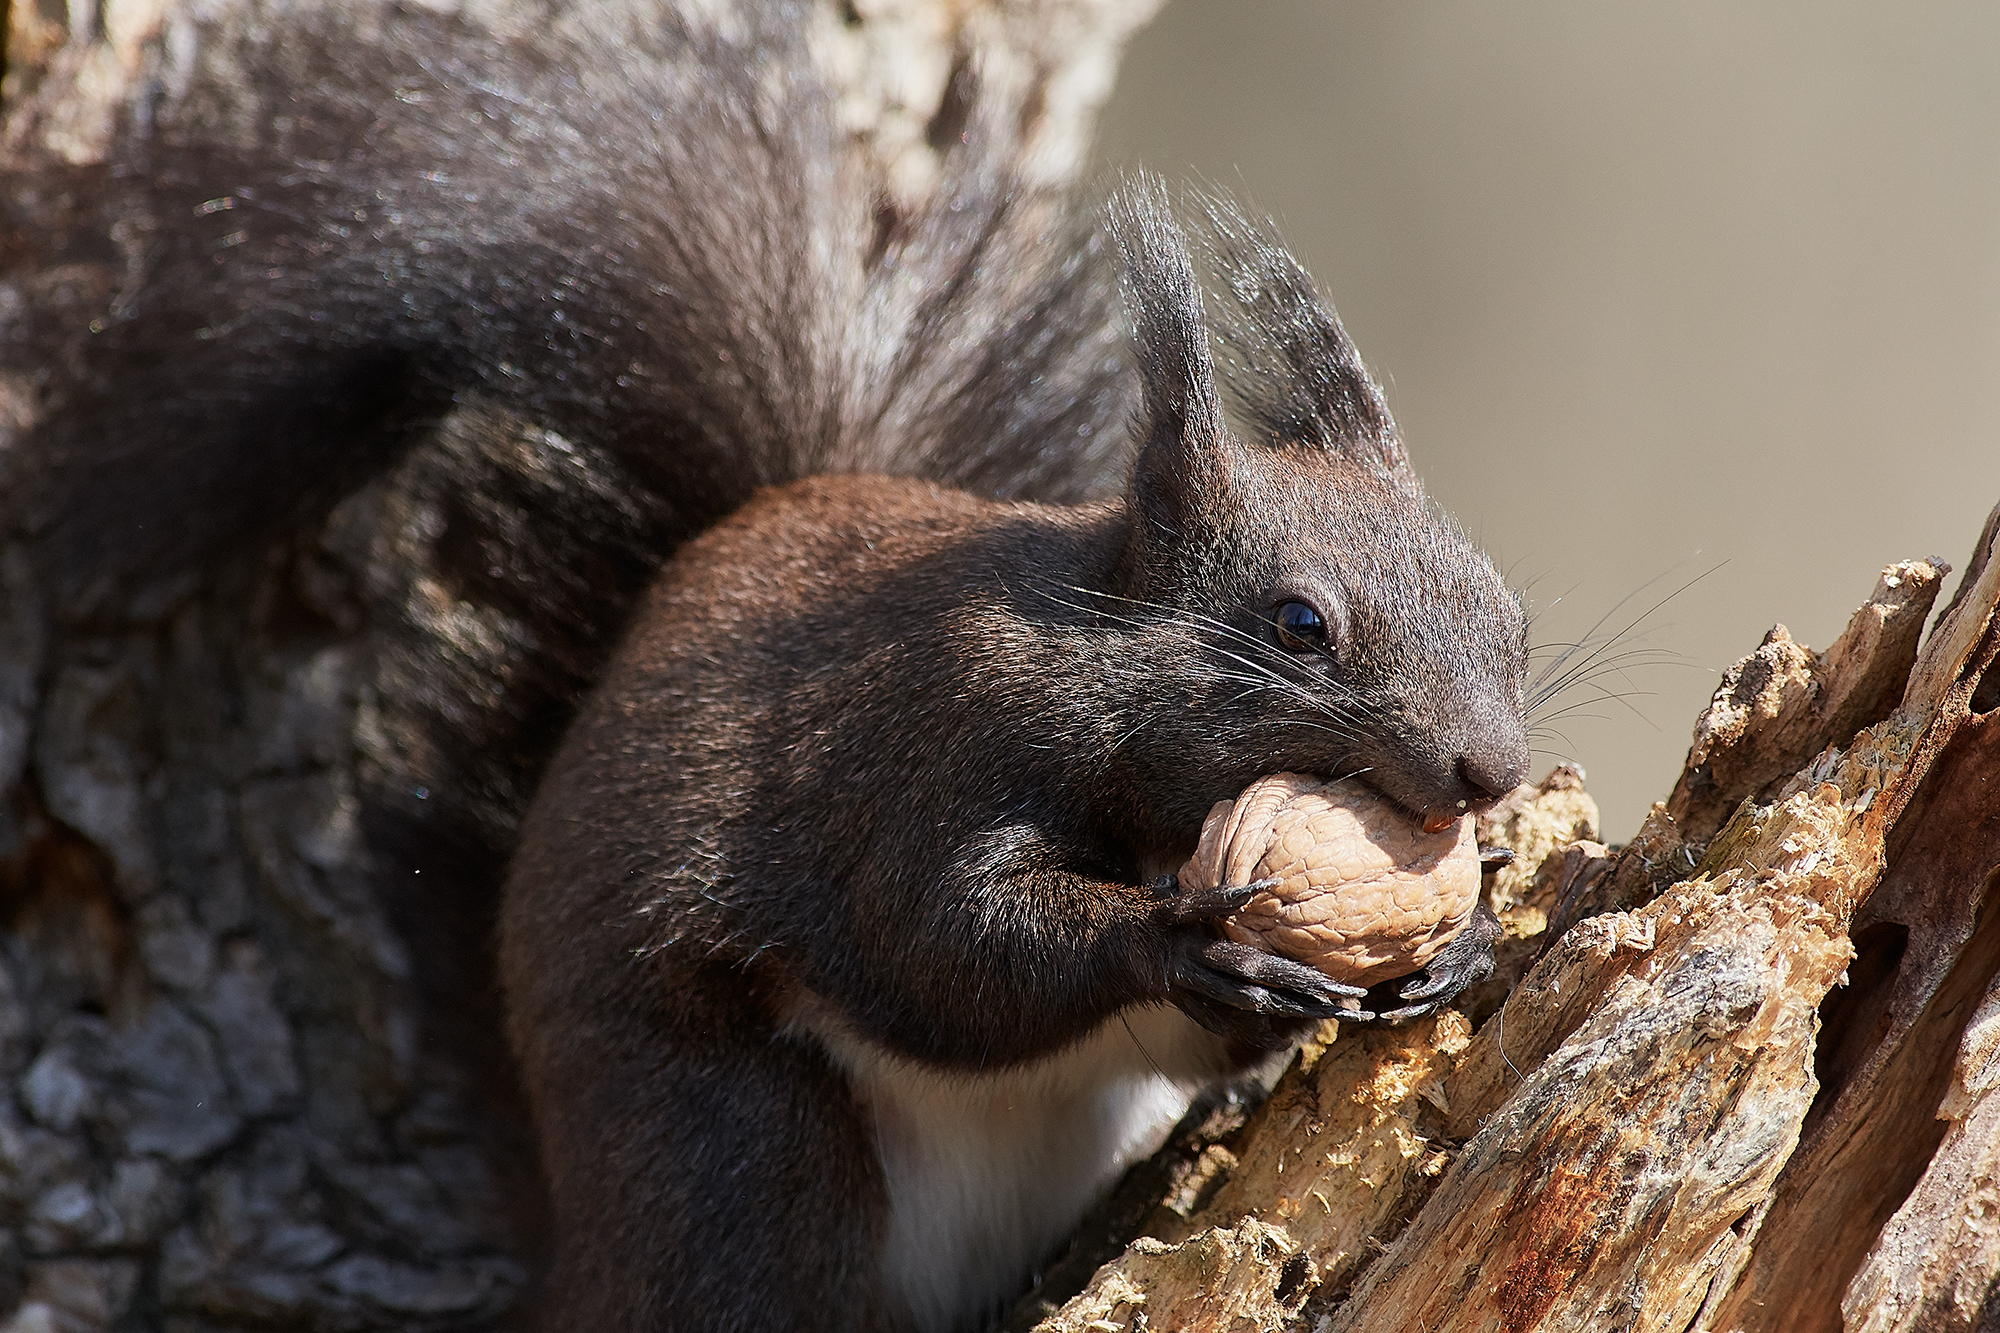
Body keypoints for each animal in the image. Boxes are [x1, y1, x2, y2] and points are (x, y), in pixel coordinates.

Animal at [3, 3, 1528, 1329]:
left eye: (1507, 608)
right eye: (1298, 625)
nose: (1490, 771)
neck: (1105, 670)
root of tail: (574, 1247)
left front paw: (1457, 938)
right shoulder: (923, 742)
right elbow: (943, 942)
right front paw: (1183, 940)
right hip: (743, 1152)